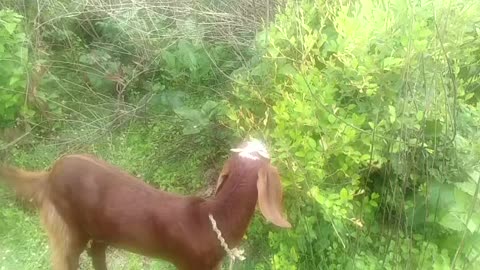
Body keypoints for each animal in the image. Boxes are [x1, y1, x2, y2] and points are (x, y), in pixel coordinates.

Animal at [0, 140, 290, 268]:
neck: (213, 219)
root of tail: (49, 175)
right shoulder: (191, 265)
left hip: (101, 230)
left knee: (97, 253)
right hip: (68, 226)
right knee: (66, 258)